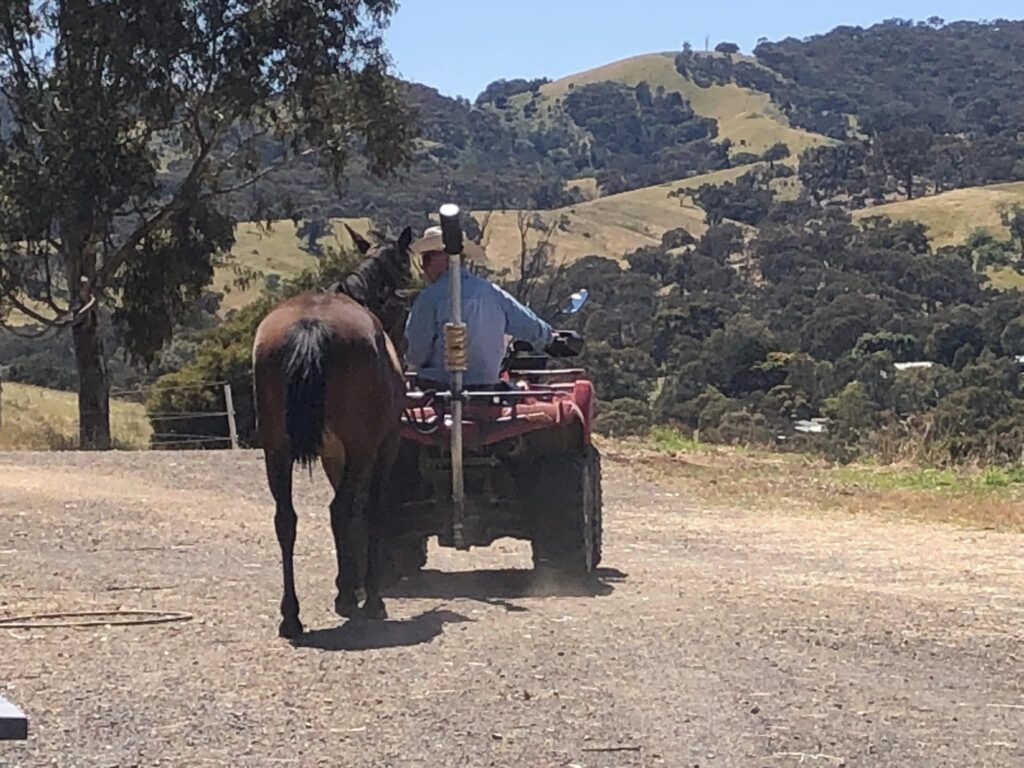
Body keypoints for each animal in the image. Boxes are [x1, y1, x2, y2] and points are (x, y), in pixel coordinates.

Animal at [253, 225, 413, 638]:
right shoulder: (381, 448)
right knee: (340, 509)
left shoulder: (332, 454)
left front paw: (348, 584)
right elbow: (369, 512)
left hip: (275, 449)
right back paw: (358, 602)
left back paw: (291, 616)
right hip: (361, 448)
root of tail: (311, 326)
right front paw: (362, 594)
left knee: (286, 519)